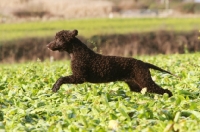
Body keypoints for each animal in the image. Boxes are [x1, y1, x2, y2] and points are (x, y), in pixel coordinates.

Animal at [47, 29, 175, 96]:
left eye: (58, 39)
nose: (47, 45)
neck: (77, 52)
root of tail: (143, 63)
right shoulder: (78, 77)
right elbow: (60, 78)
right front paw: (53, 88)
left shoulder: (79, 77)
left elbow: (61, 78)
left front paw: (55, 88)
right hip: (137, 86)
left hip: (144, 81)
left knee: (165, 90)